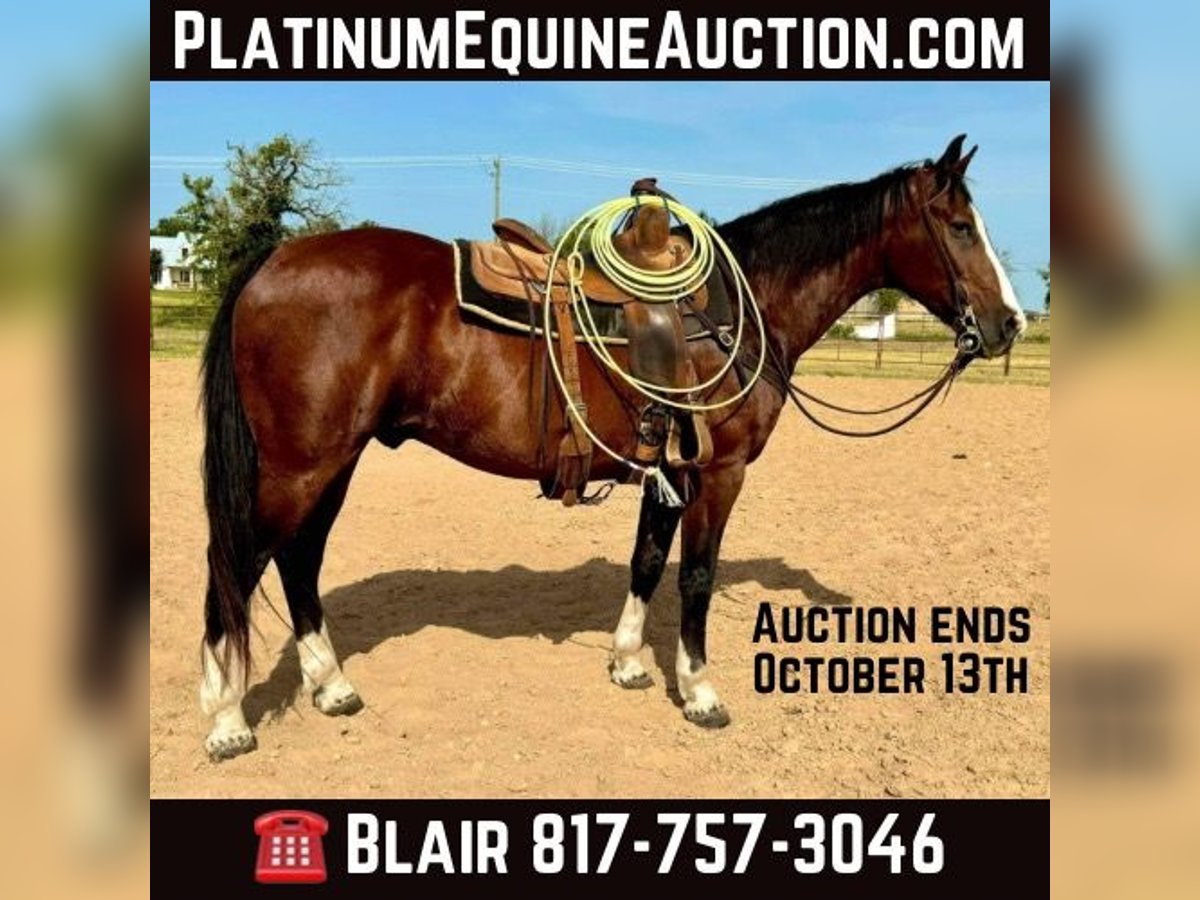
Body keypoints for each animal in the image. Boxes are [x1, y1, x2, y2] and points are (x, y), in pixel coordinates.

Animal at [197, 135, 1026, 761]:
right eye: (959, 226)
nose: (1010, 323)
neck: (739, 308)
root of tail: (272, 262)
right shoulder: (718, 473)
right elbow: (695, 577)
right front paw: (700, 693)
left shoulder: (671, 470)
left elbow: (647, 562)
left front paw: (628, 664)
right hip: (301, 466)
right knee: (238, 565)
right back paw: (228, 717)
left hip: (332, 462)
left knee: (299, 561)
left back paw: (330, 685)